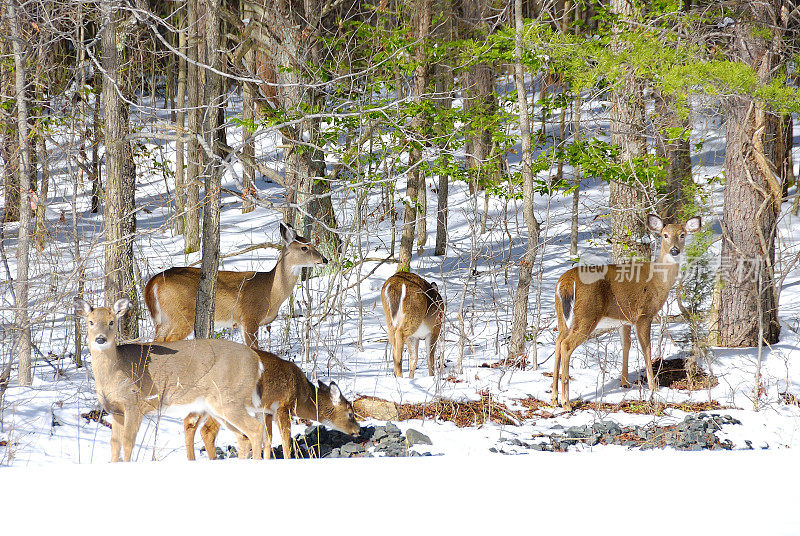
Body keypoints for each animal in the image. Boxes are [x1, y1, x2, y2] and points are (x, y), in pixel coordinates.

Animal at [74, 298, 266, 460]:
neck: (116, 371)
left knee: (256, 429)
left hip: (229, 398)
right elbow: (114, 445)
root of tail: (257, 361)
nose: (100, 338)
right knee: (243, 437)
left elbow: (128, 443)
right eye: (90, 322)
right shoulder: (116, 410)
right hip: (218, 406)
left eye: (111, 322)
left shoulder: (135, 404)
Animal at [145, 221, 328, 350]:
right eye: (304, 248)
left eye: (313, 244)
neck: (271, 289)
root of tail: (153, 282)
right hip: (181, 316)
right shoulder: (249, 317)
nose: (324, 260)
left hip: (165, 319)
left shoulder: (241, 323)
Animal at [183, 350, 360, 458]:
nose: (358, 430)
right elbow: (286, 442)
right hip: (224, 402)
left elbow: (267, 440)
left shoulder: (265, 411)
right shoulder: (283, 407)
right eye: (350, 413)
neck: (302, 396)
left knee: (189, 422)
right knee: (207, 430)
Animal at [552, 215, 700, 410]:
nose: (674, 250)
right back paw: (566, 402)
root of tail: (566, 282)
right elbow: (646, 348)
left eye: (682, 235)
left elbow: (626, 345)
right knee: (566, 345)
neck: (659, 280)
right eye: (665, 235)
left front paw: (624, 382)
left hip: (562, 316)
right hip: (587, 314)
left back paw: (553, 397)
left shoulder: (624, 319)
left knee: (558, 341)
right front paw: (653, 386)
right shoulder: (644, 314)